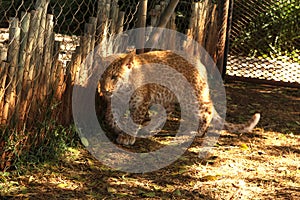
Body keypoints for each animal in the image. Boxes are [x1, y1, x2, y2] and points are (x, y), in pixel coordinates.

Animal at [99, 50, 260, 145]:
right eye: (101, 77)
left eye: (114, 77)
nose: (104, 90)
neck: (122, 92)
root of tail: (201, 64)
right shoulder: (115, 103)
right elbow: (108, 118)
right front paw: (118, 129)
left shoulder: (142, 102)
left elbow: (134, 120)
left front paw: (127, 137)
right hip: (166, 97)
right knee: (167, 111)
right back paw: (150, 128)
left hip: (191, 99)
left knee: (207, 110)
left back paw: (199, 132)